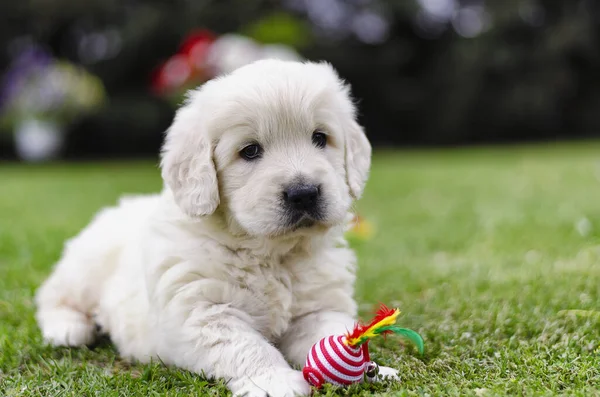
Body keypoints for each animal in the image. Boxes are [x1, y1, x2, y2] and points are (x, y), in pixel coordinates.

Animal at [35, 59, 396, 396]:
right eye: (250, 151)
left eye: (320, 138)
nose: (304, 193)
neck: (270, 253)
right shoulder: (202, 312)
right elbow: (246, 346)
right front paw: (275, 381)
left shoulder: (318, 306)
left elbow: (333, 333)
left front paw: (373, 368)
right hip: (84, 269)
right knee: (52, 295)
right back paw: (68, 328)